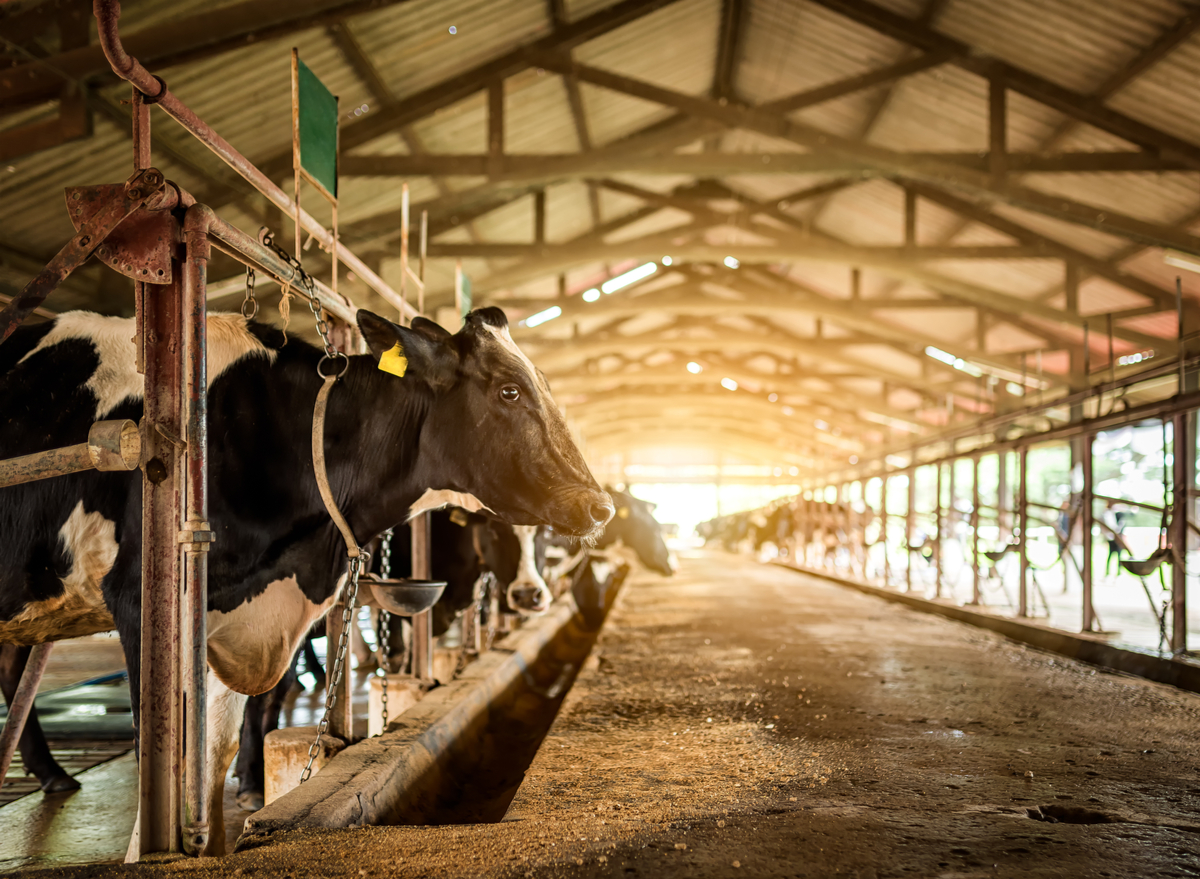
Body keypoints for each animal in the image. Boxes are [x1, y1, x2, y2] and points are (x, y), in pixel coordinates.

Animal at [0, 307, 614, 850]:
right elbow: (174, 762)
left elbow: (215, 751)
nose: (601, 506)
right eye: (509, 391)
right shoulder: (141, 602)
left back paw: (51, 772)